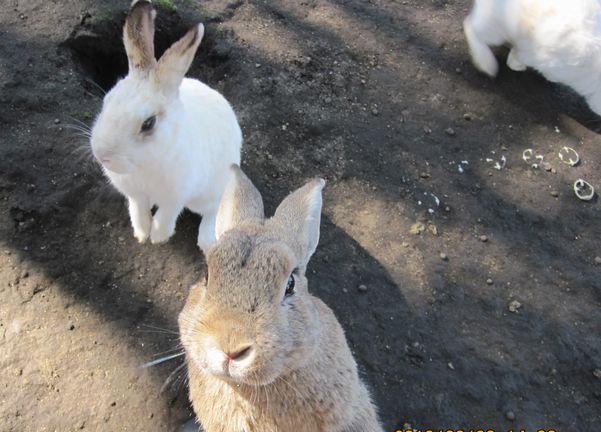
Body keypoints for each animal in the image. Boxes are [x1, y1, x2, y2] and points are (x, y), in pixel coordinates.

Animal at [89, 0, 239, 251]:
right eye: (106, 100)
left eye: (148, 123)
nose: (102, 156)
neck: (145, 165)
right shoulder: (136, 195)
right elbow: (138, 209)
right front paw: (142, 233)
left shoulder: (176, 196)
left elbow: (166, 215)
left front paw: (159, 237)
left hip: (211, 191)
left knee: (212, 210)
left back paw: (207, 241)